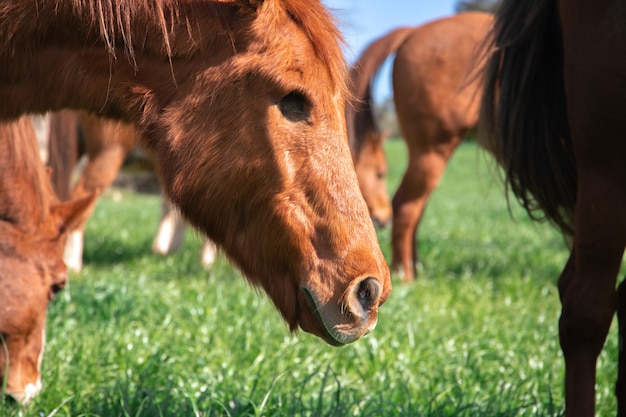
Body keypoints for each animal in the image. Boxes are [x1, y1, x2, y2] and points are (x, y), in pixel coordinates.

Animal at [344, 13, 490, 282]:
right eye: (380, 174)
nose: (383, 218)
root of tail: (413, 30)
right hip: (432, 151)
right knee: (407, 207)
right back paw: (406, 274)